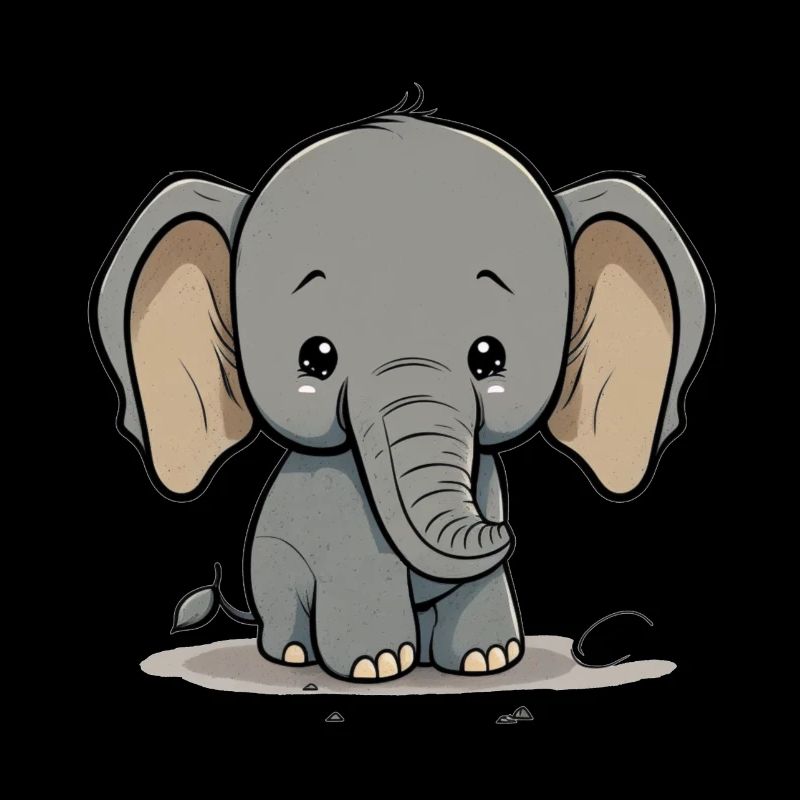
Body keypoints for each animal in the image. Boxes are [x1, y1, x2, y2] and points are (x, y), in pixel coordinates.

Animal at [92, 94, 709, 682]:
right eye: (315, 358)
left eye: (490, 357)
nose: (504, 527)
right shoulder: (339, 506)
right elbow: (364, 564)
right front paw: (378, 665)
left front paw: (489, 660)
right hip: (269, 565)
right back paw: (294, 655)